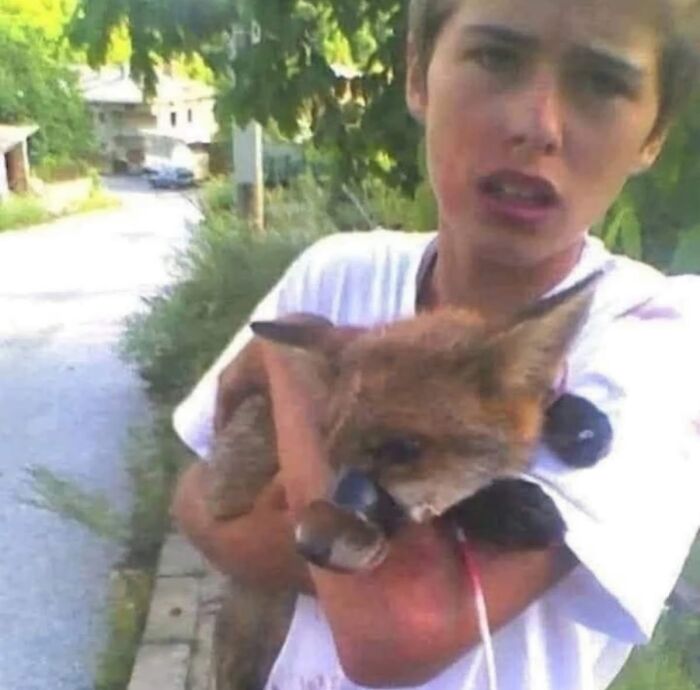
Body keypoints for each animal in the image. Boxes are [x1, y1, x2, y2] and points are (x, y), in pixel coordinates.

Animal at [204, 274, 605, 690]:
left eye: (403, 449)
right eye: (327, 449)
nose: (308, 547)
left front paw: (575, 418)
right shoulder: (239, 489)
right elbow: (444, 509)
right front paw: (504, 506)